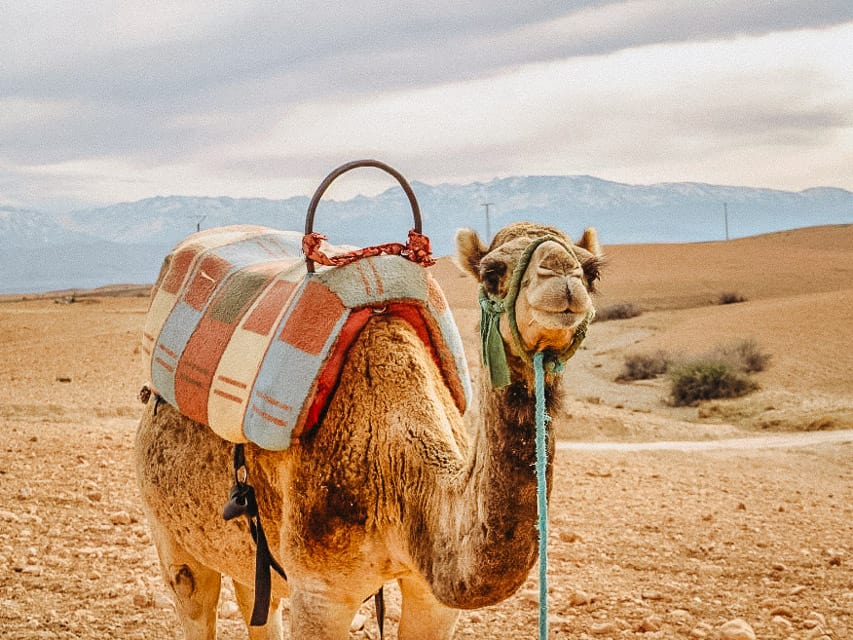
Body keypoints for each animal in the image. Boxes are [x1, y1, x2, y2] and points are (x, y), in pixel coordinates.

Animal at [135, 220, 603, 640]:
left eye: (592, 270)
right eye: (492, 272)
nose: (562, 277)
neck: (398, 463)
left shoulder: (432, 596)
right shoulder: (320, 592)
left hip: (245, 553)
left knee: (256, 600)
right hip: (168, 532)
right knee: (192, 595)